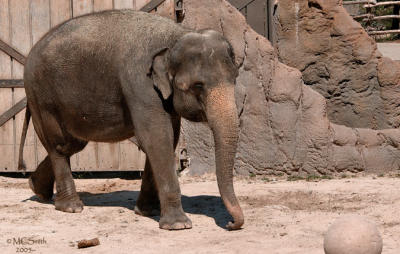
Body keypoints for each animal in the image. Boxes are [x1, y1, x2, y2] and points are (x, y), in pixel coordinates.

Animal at [18, 9, 244, 231]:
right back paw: (71, 207)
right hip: (41, 97)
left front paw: (146, 211)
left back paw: (37, 189)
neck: (176, 34)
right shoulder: (139, 82)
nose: (231, 224)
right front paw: (178, 225)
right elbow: (156, 137)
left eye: (235, 79)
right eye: (198, 86)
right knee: (59, 145)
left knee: (72, 144)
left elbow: (168, 138)